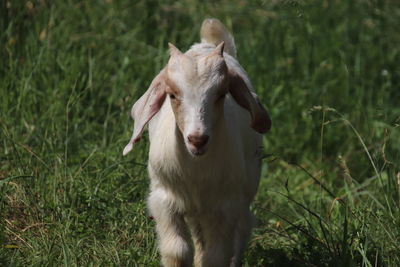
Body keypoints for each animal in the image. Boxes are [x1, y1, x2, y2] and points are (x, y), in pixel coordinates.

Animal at [123, 17, 270, 266]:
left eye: (222, 94)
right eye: (172, 94)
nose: (197, 139)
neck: (196, 168)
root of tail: (207, 44)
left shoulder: (225, 206)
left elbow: (215, 256)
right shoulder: (165, 200)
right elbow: (177, 250)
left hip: (246, 188)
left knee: (242, 229)